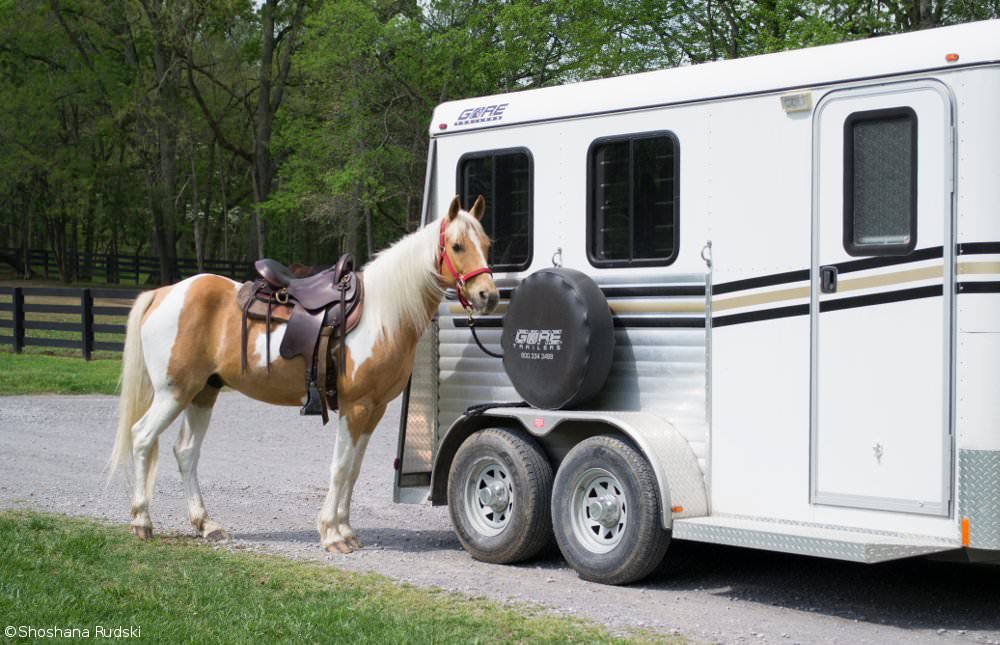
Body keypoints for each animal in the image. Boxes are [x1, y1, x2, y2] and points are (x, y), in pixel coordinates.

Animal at [111, 194, 498, 552]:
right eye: (457, 246)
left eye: (487, 244)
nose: (488, 296)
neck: (383, 315)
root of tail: (163, 293)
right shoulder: (356, 406)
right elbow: (340, 467)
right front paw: (333, 535)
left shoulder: (374, 409)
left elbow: (353, 469)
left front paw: (346, 530)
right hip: (173, 393)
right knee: (142, 437)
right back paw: (142, 522)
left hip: (203, 392)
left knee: (186, 452)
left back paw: (207, 525)